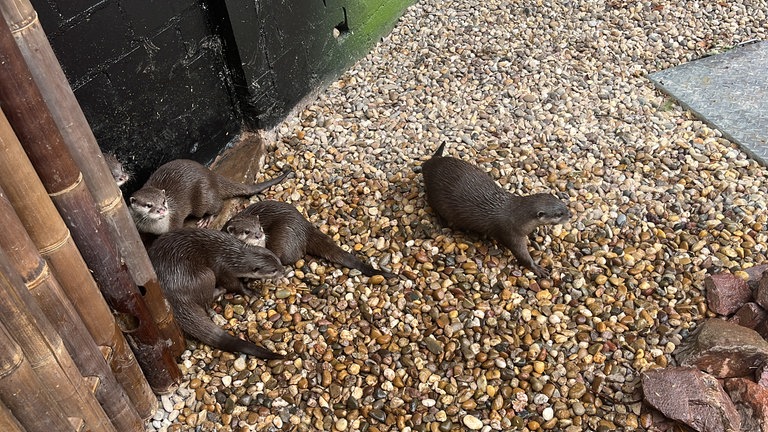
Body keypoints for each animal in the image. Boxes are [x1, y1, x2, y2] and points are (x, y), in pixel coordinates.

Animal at [129, 159, 289, 234]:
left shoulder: (175, 220)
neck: (154, 228)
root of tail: (211, 175)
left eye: (163, 201)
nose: (162, 210)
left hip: (203, 197)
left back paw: (206, 219)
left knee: (218, 205)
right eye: (149, 205)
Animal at [148, 228, 285, 359]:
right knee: (207, 298)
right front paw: (250, 291)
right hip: (205, 275)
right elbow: (233, 285)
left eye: (279, 261)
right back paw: (219, 291)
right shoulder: (224, 269)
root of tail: (170, 295)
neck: (231, 257)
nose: (283, 271)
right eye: (273, 270)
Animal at [421, 143, 570, 277]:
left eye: (563, 204)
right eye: (559, 214)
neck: (516, 216)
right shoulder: (511, 233)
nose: (571, 215)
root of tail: (429, 164)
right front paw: (536, 268)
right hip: (436, 196)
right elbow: (522, 255)